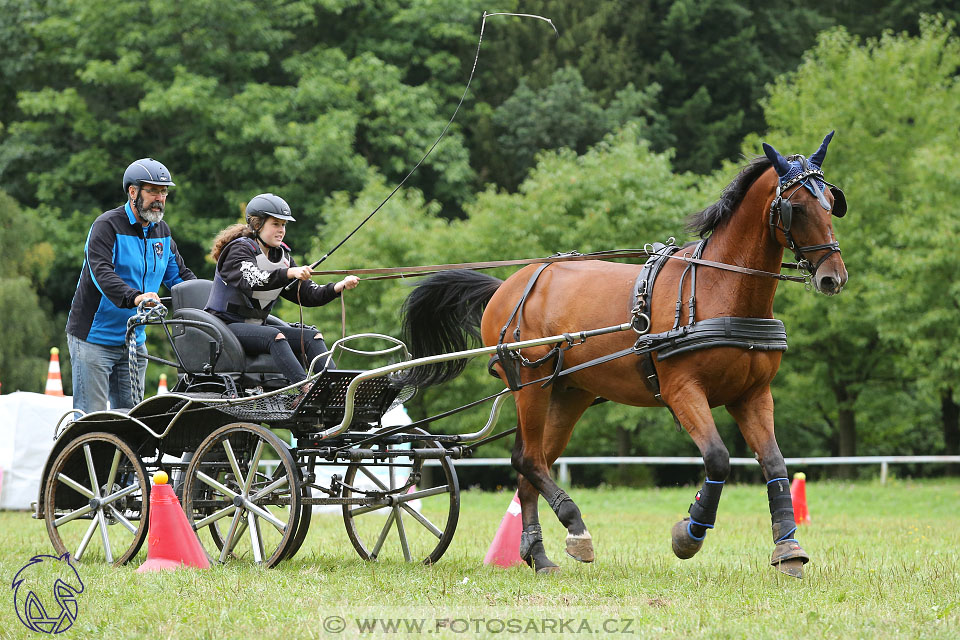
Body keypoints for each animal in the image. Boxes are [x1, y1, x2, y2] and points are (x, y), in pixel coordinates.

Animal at [402, 132, 852, 576]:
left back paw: (539, 555)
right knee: (527, 458)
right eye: (796, 207)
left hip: (567, 392)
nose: (834, 277)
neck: (719, 289)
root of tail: (507, 286)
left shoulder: (752, 394)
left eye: (832, 203)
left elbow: (774, 464)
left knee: (533, 463)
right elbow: (718, 458)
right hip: (530, 384)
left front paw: (788, 548)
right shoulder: (682, 390)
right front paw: (689, 534)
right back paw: (575, 530)